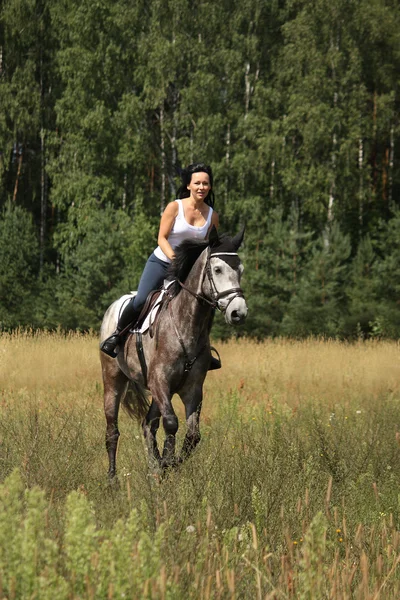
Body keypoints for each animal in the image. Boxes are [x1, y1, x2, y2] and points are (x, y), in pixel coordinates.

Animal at [100, 225, 247, 478]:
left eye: (240, 270)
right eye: (217, 269)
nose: (239, 312)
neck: (187, 325)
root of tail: (114, 305)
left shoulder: (192, 389)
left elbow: (192, 435)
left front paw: (167, 464)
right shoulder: (161, 382)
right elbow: (171, 424)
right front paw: (166, 462)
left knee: (147, 425)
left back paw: (153, 469)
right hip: (113, 381)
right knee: (113, 430)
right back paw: (113, 479)